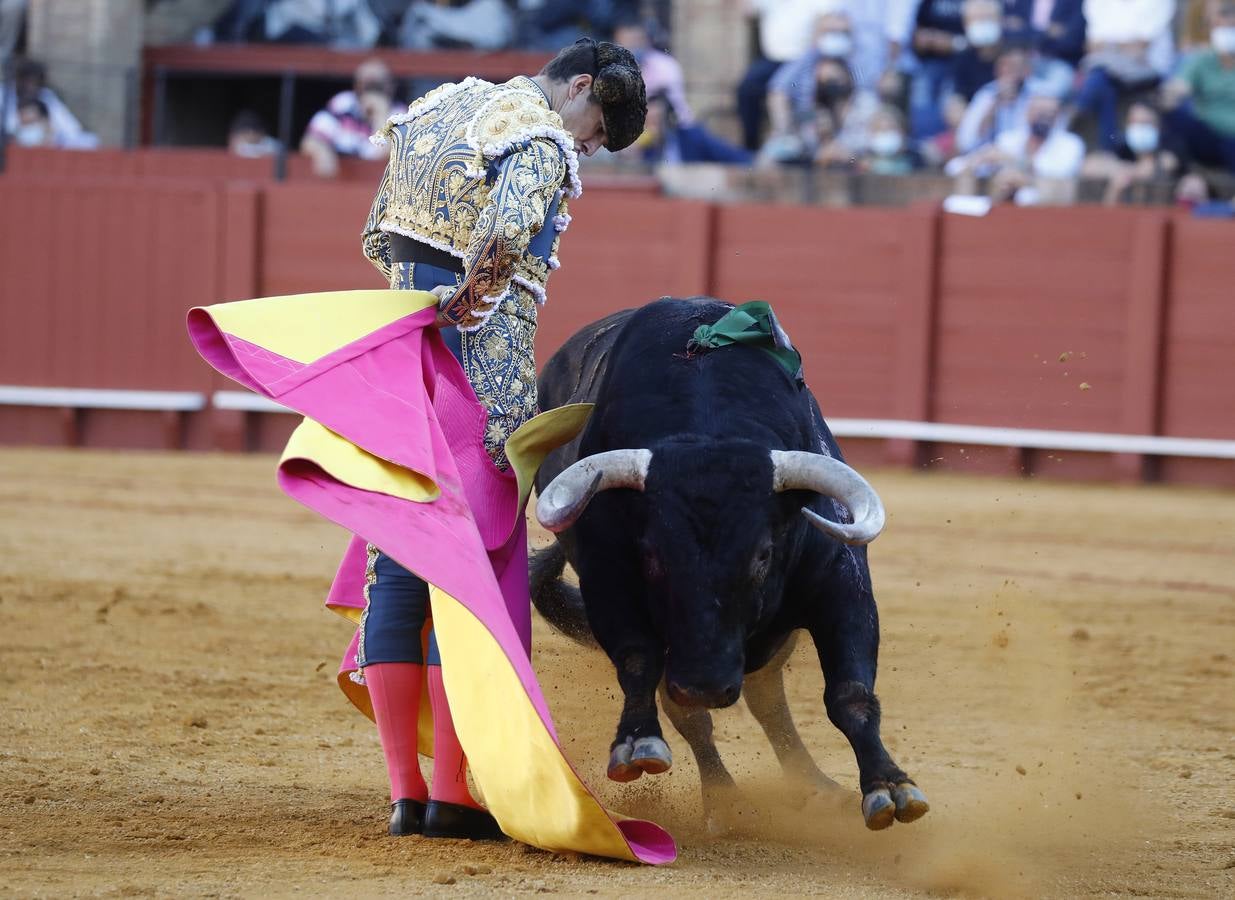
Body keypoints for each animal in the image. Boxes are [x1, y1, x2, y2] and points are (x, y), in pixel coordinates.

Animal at [531, 298, 928, 829]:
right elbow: (639, 661)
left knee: (768, 699)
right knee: (696, 713)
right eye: (651, 556)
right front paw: (637, 743)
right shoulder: (607, 583)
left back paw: (816, 788)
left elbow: (850, 692)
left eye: (763, 553)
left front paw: (890, 787)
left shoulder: (841, 586)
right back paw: (724, 800)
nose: (704, 685)